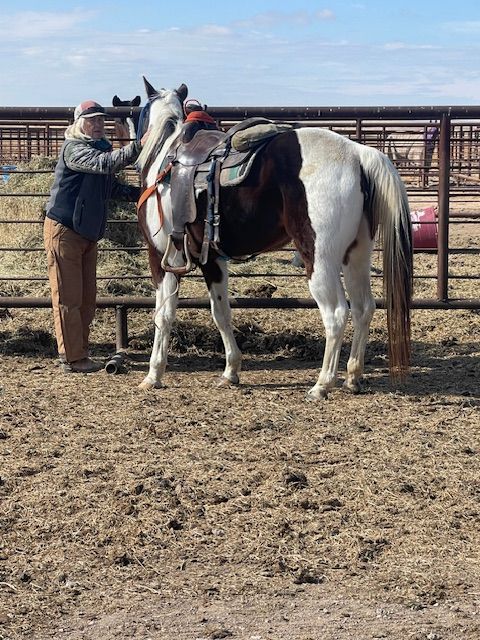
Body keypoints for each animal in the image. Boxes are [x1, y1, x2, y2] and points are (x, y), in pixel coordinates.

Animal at [135, 78, 413, 400]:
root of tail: (357, 154)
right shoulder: (212, 260)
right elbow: (221, 312)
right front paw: (231, 371)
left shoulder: (163, 258)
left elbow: (164, 315)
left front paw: (154, 374)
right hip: (356, 255)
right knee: (363, 308)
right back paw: (353, 377)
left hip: (319, 259)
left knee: (336, 314)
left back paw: (322, 384)